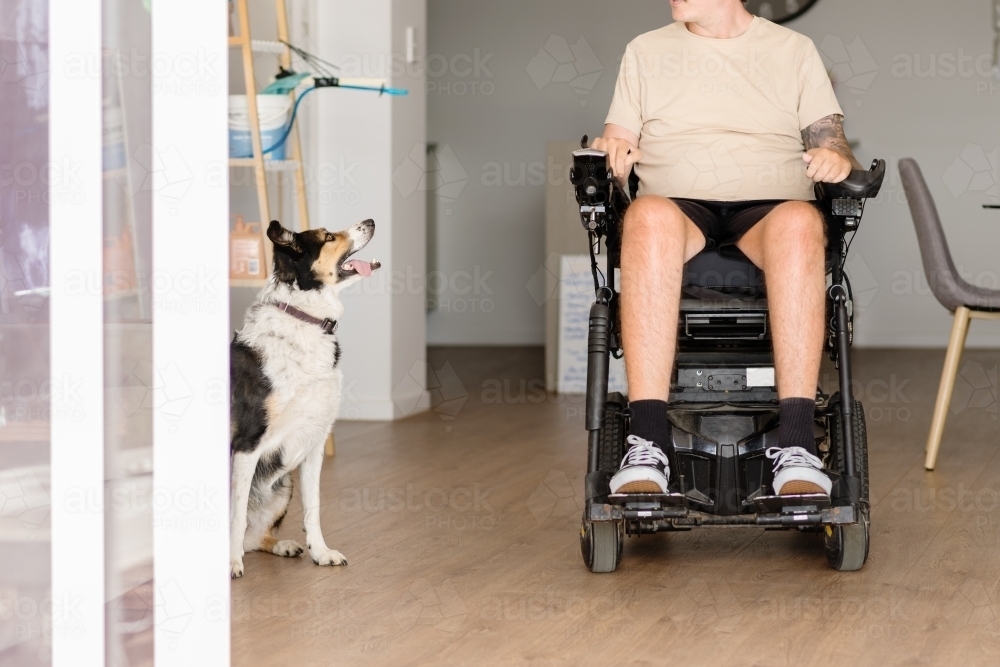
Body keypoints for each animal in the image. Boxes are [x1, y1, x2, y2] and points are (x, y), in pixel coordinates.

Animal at [229, 218, 380, 580]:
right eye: (328, 237)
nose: (370, 221)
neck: (304, 318)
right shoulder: (247, 444)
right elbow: (236, 514)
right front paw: (230, 564)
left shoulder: (313, 444)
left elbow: (313, 509)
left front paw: (320, 553)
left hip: (282, 485)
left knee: (256, 536)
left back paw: (282, 545)